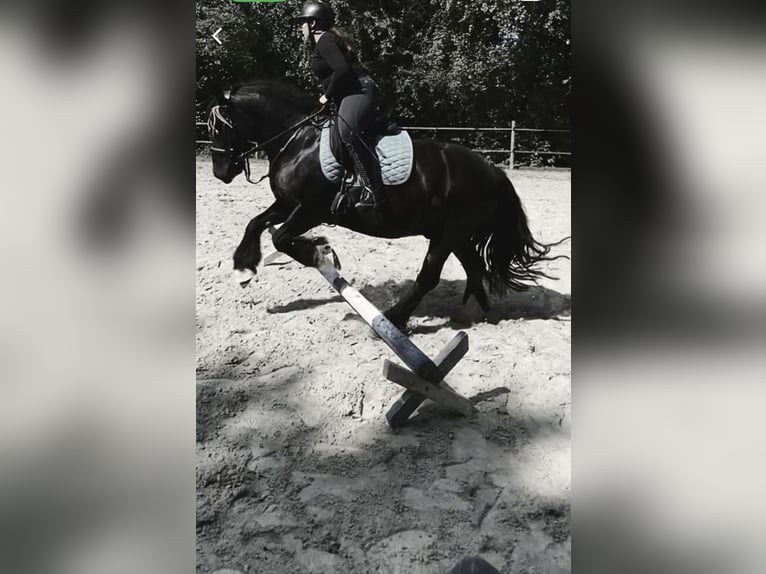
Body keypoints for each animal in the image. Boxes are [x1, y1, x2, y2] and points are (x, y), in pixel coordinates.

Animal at [207, 80, 558, 330]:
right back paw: (478, 313)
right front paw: (243, 267)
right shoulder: (287, 203)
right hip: (452, 234)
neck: (300, 141)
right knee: (473, 268)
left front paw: (317, 250)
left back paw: (393, 319)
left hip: (448, 234)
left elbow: (280, 237)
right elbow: (256, 223)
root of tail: (492, 172)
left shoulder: (310, 209)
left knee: (429, 276)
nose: (219, 172)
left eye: (219, 127)